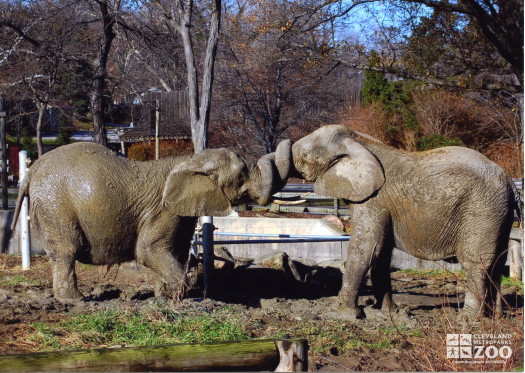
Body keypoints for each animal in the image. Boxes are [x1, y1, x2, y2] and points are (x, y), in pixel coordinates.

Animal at [11, 140, 290, 302]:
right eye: (242, 176)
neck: (188, 160)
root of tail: (32, 170)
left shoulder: (179, 211)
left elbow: (174, 251)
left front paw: (163, 296)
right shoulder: (162, 210)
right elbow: (149, 250)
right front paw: (179, 297)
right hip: (55, 205)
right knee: (66, 252)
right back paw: (76, 301)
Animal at [286, 125, 520, 316]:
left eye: (305, 155)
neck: (359, 140)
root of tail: (511, 183)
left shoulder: (374, 200)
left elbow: (366, 248)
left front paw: (347, 312)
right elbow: (380, 253)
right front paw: (387, 313)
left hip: (482, 210)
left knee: (476, 263)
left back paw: (468, 320)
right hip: (499, 214)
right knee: (497, 263)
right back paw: (495, 318)